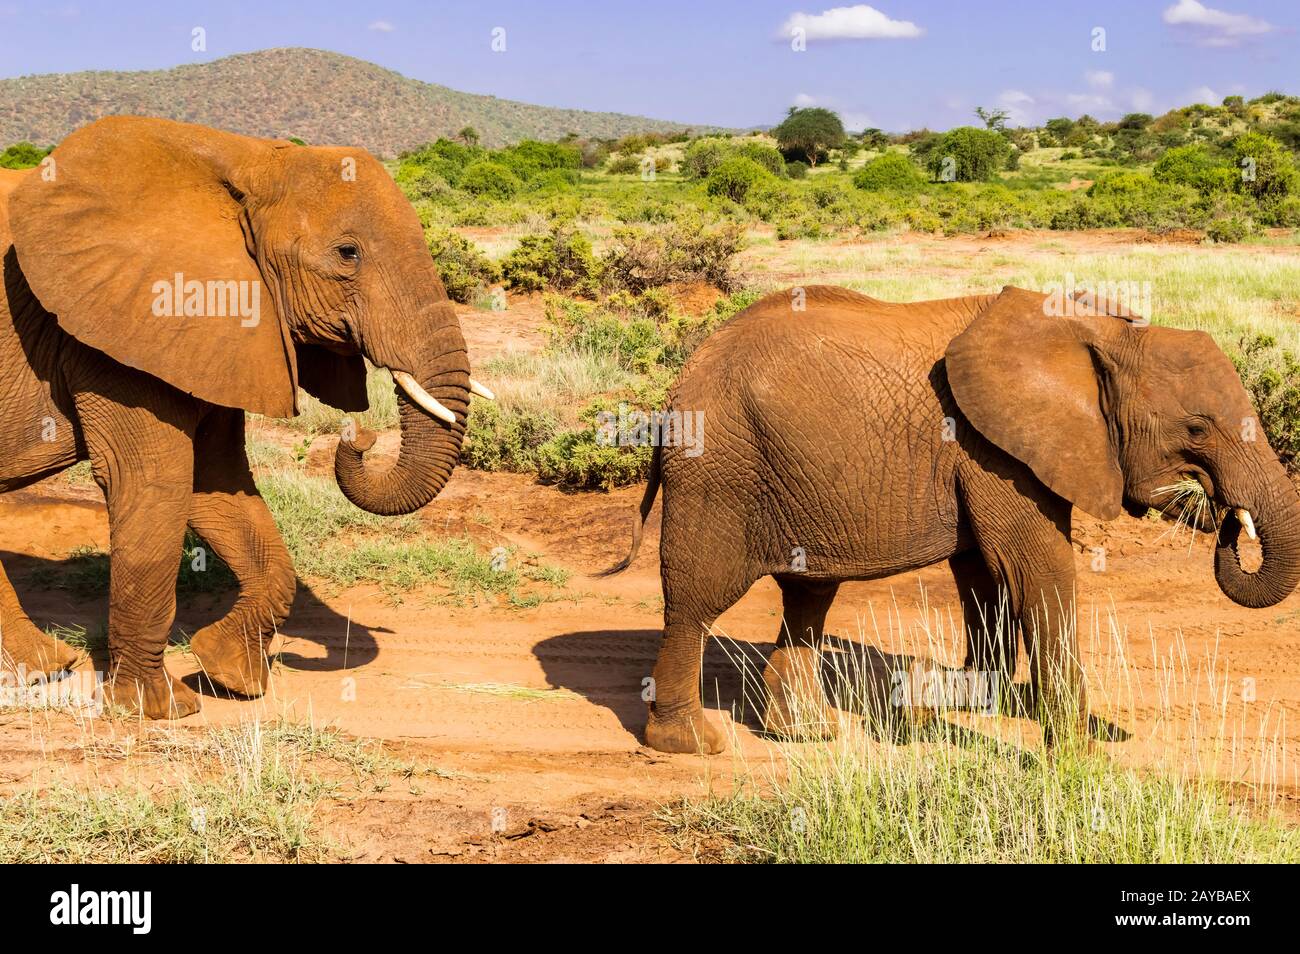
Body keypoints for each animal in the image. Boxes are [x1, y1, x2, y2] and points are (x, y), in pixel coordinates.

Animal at [0, 116, 494, 718]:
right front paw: (159, 710)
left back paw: (41, 668)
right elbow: (153, 481)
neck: (246, 159)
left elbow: (216, 483)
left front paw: (230, 677)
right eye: (347, 253)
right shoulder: (116, 330)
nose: (362, 437)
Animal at [608, 284, 1300, 754]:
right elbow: (1035, 567)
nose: (1221, 514)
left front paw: (979, 701)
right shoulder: (993, 447)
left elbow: (983, 574)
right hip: (719, 469)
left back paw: (808, 735)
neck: (1095, 331)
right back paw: (693, 744)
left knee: (808, 597)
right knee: (697, 600)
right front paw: (1077, 752)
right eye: (1198, 428)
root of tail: (674, 389)